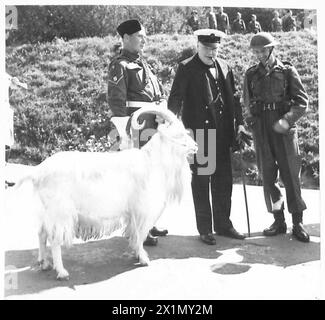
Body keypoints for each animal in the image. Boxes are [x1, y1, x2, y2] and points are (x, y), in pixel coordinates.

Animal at [13, 108, 196, 280]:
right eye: (180, 134)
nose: (196, 146)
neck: (152, 162)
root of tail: (38, 172)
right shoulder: (142, 211)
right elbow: (140, 235)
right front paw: (143, 258)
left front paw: (137, 254)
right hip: (60, 213)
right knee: (55, 240)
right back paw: (62, 272)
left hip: (47, 212)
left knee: (41, 234)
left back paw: (44, 263)